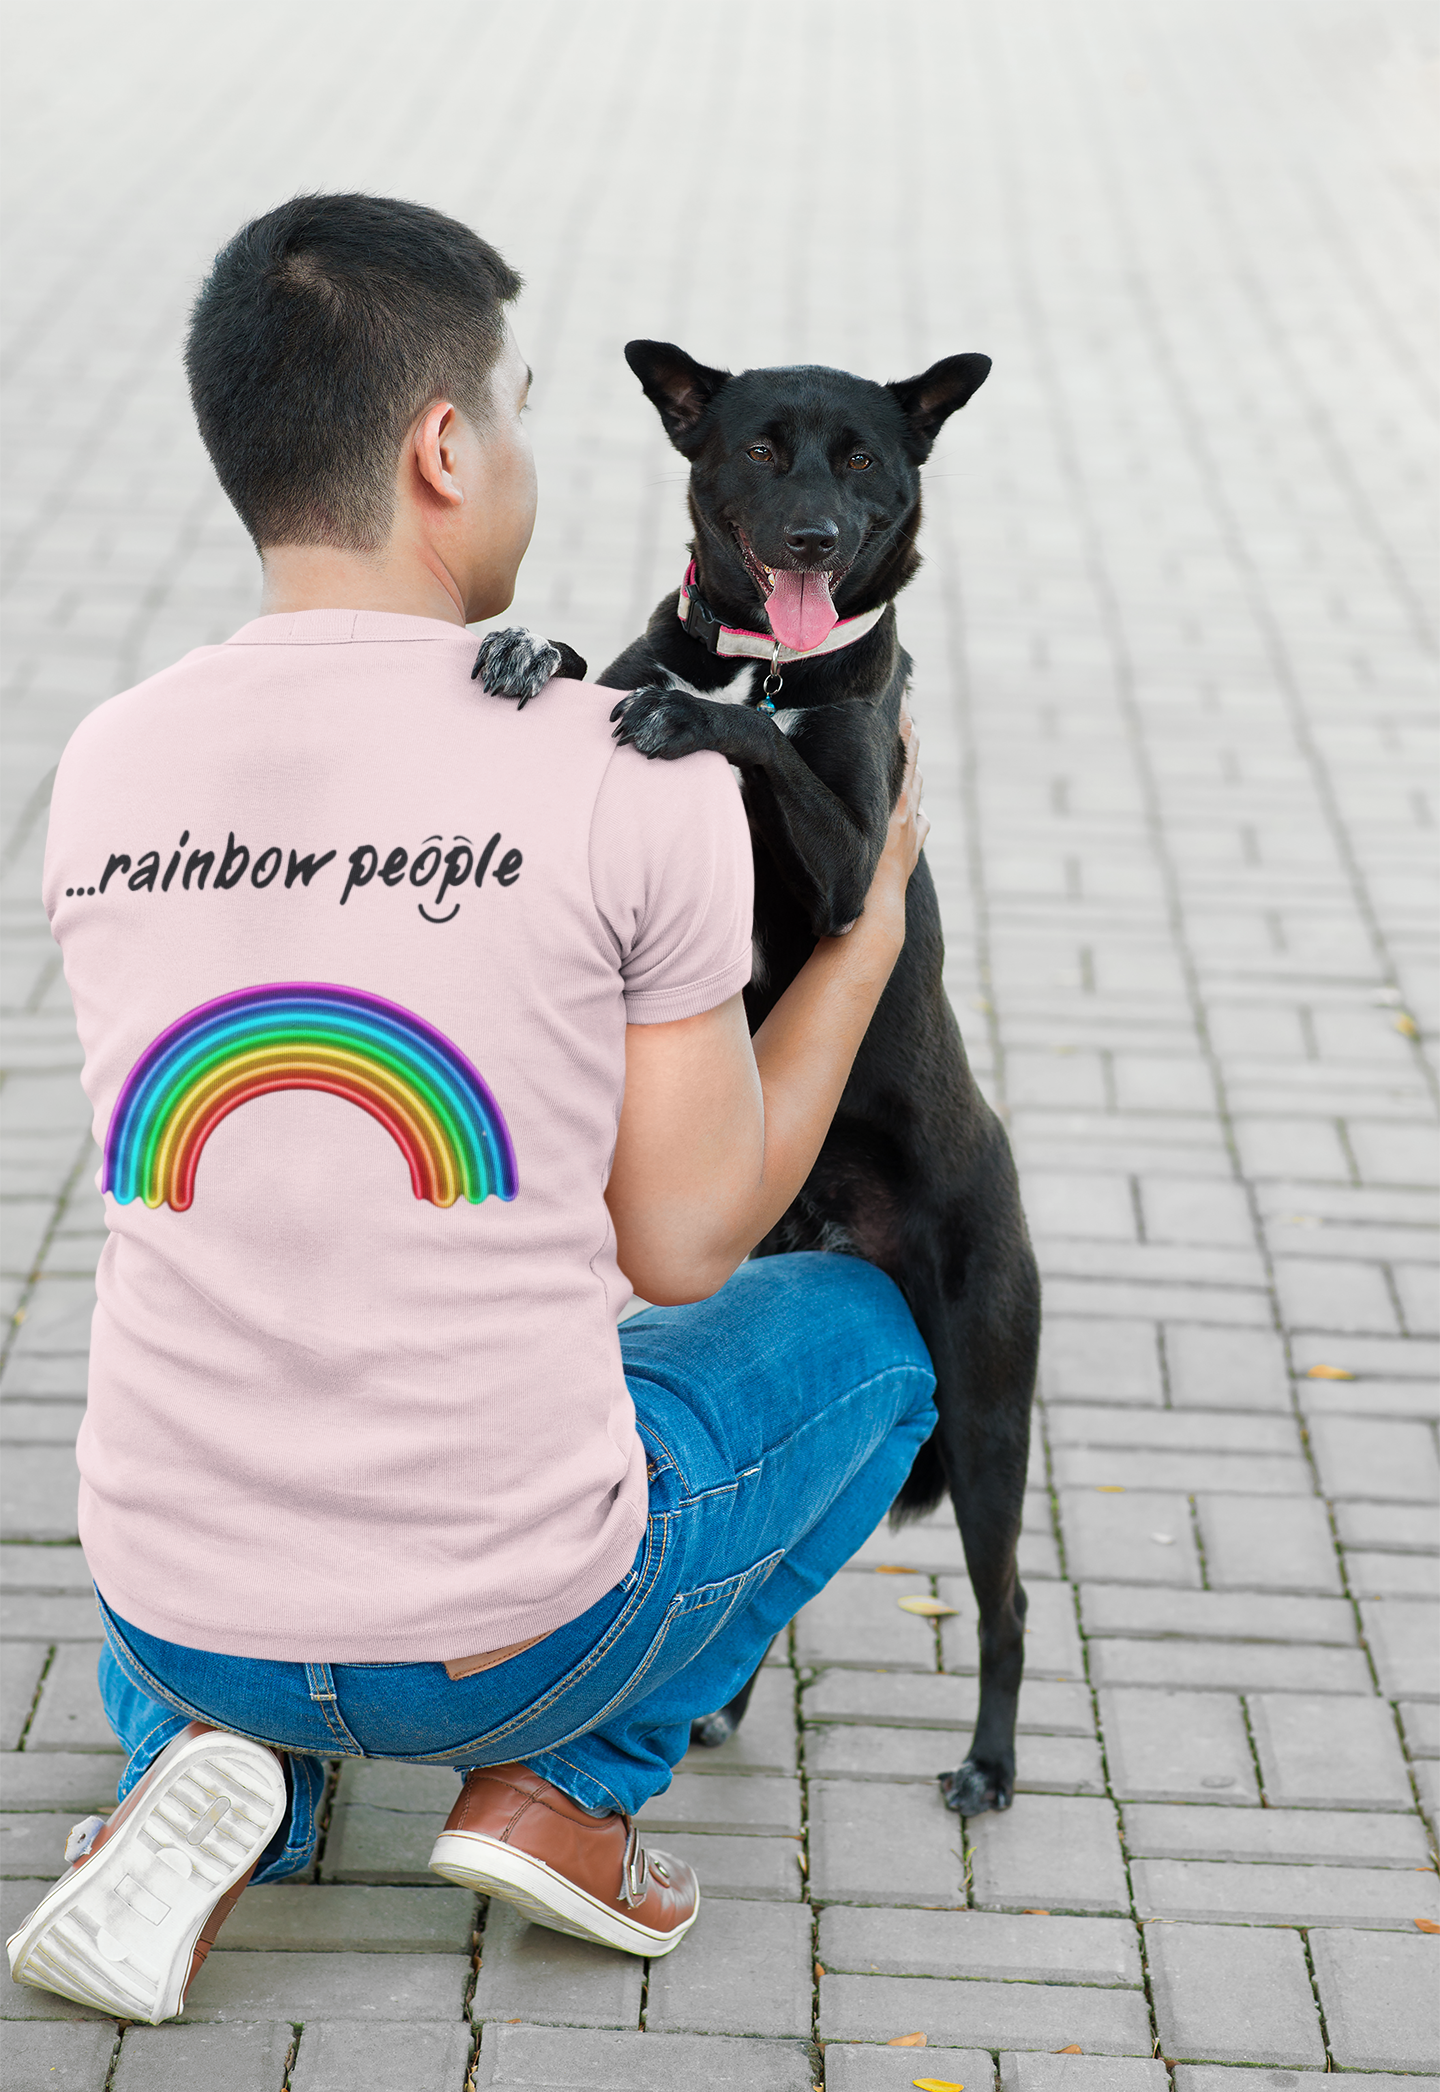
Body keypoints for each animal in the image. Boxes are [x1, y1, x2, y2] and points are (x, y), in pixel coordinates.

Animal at [477, 343, 1042, 1815]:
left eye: (862, 463)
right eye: (761, 450)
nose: (814, 540)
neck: (768, 664)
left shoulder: (857, 873)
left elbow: (772, 748)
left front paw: (694, 719)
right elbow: (594, 667)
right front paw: (528, 644)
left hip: (986, 1414)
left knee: (1010, 1603)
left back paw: (989, 1764)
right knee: (773, 1594)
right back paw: (720, 1704)